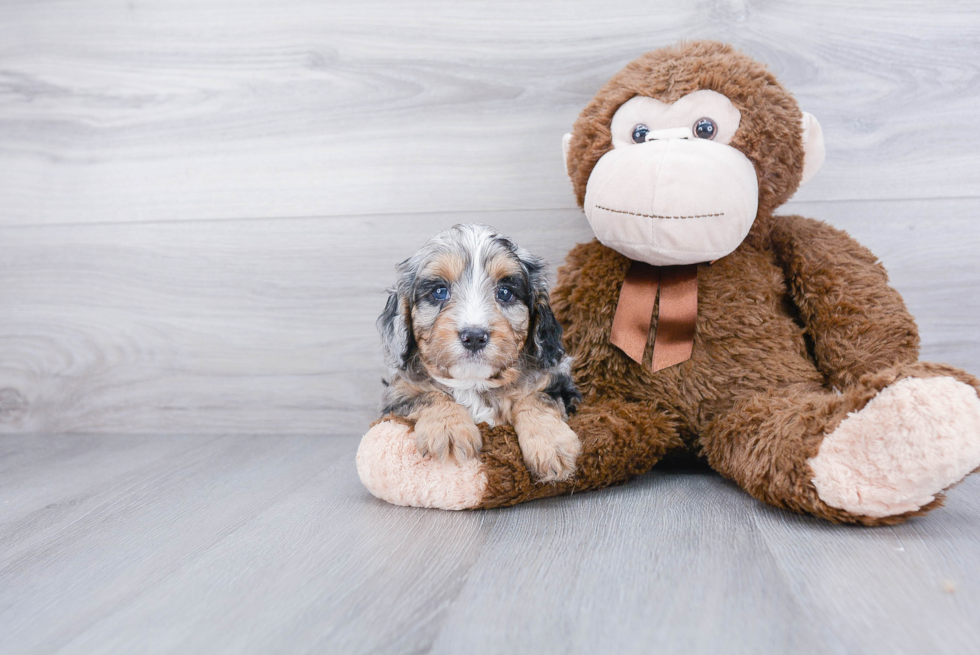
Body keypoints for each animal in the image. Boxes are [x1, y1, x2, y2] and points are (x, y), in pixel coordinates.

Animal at [378, 224, 580, 482]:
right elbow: (429, 396)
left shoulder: (560, 383)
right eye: (439, 292)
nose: (474, 336)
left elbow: (536, 398)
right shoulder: (396, 395)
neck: (473, 382)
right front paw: (448, 430)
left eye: (505, 292)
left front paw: (551, 446)